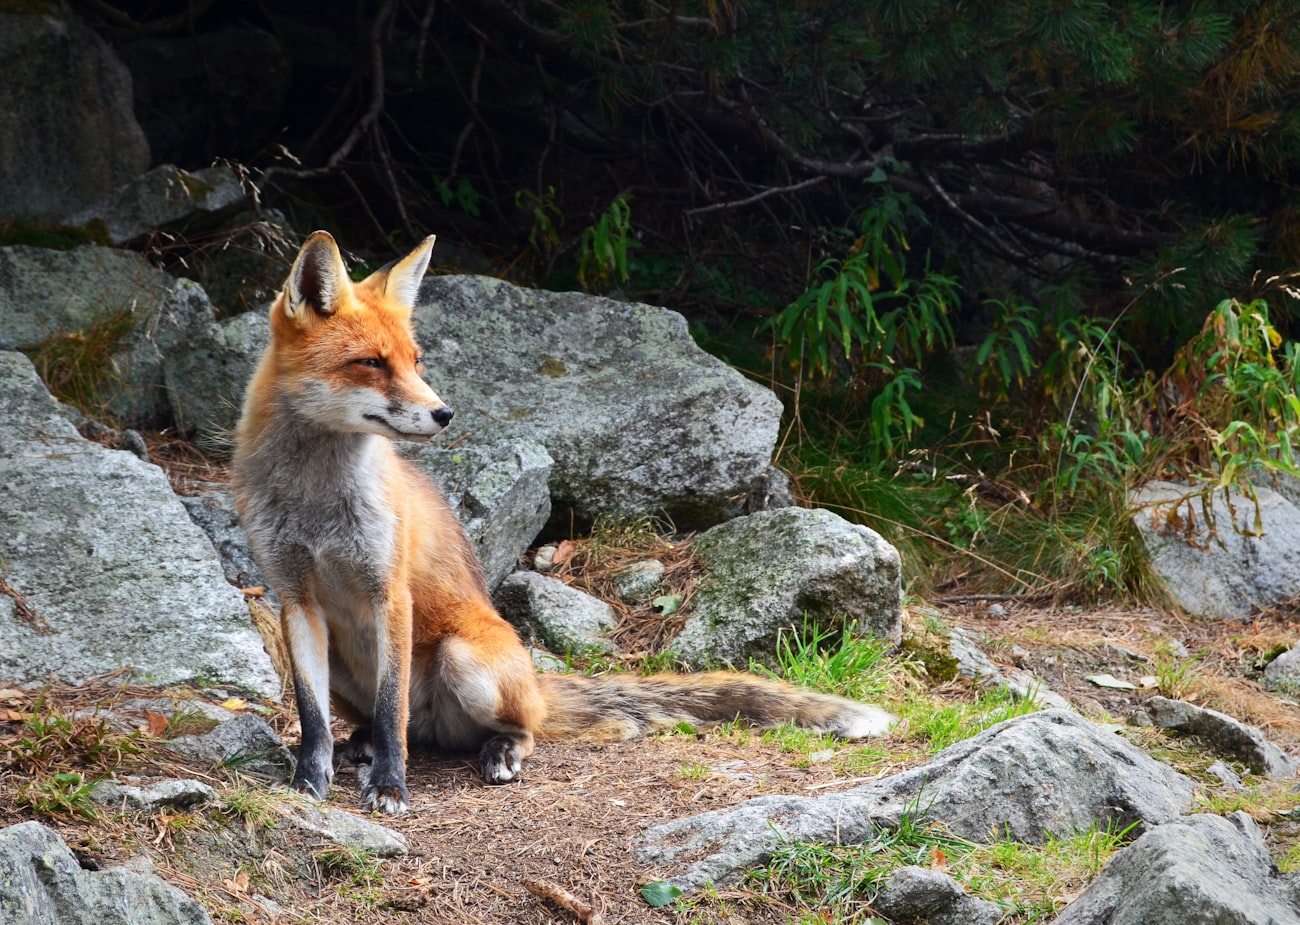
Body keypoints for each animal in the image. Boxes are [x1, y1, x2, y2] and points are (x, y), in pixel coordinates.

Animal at [231, 231, 894, 810]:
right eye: (371, 362)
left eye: (416, 361)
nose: (445, 413)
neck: (316, 504)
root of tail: (531, 683)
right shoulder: (295, 598)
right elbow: (311, 718)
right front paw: (308, 781)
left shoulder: (388, 592)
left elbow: (393, 708)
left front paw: (391, 788)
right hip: (347, 669)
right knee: (392, 725)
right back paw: (363, 745)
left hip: (464, 660)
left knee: (489, 729)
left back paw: (496, 752)